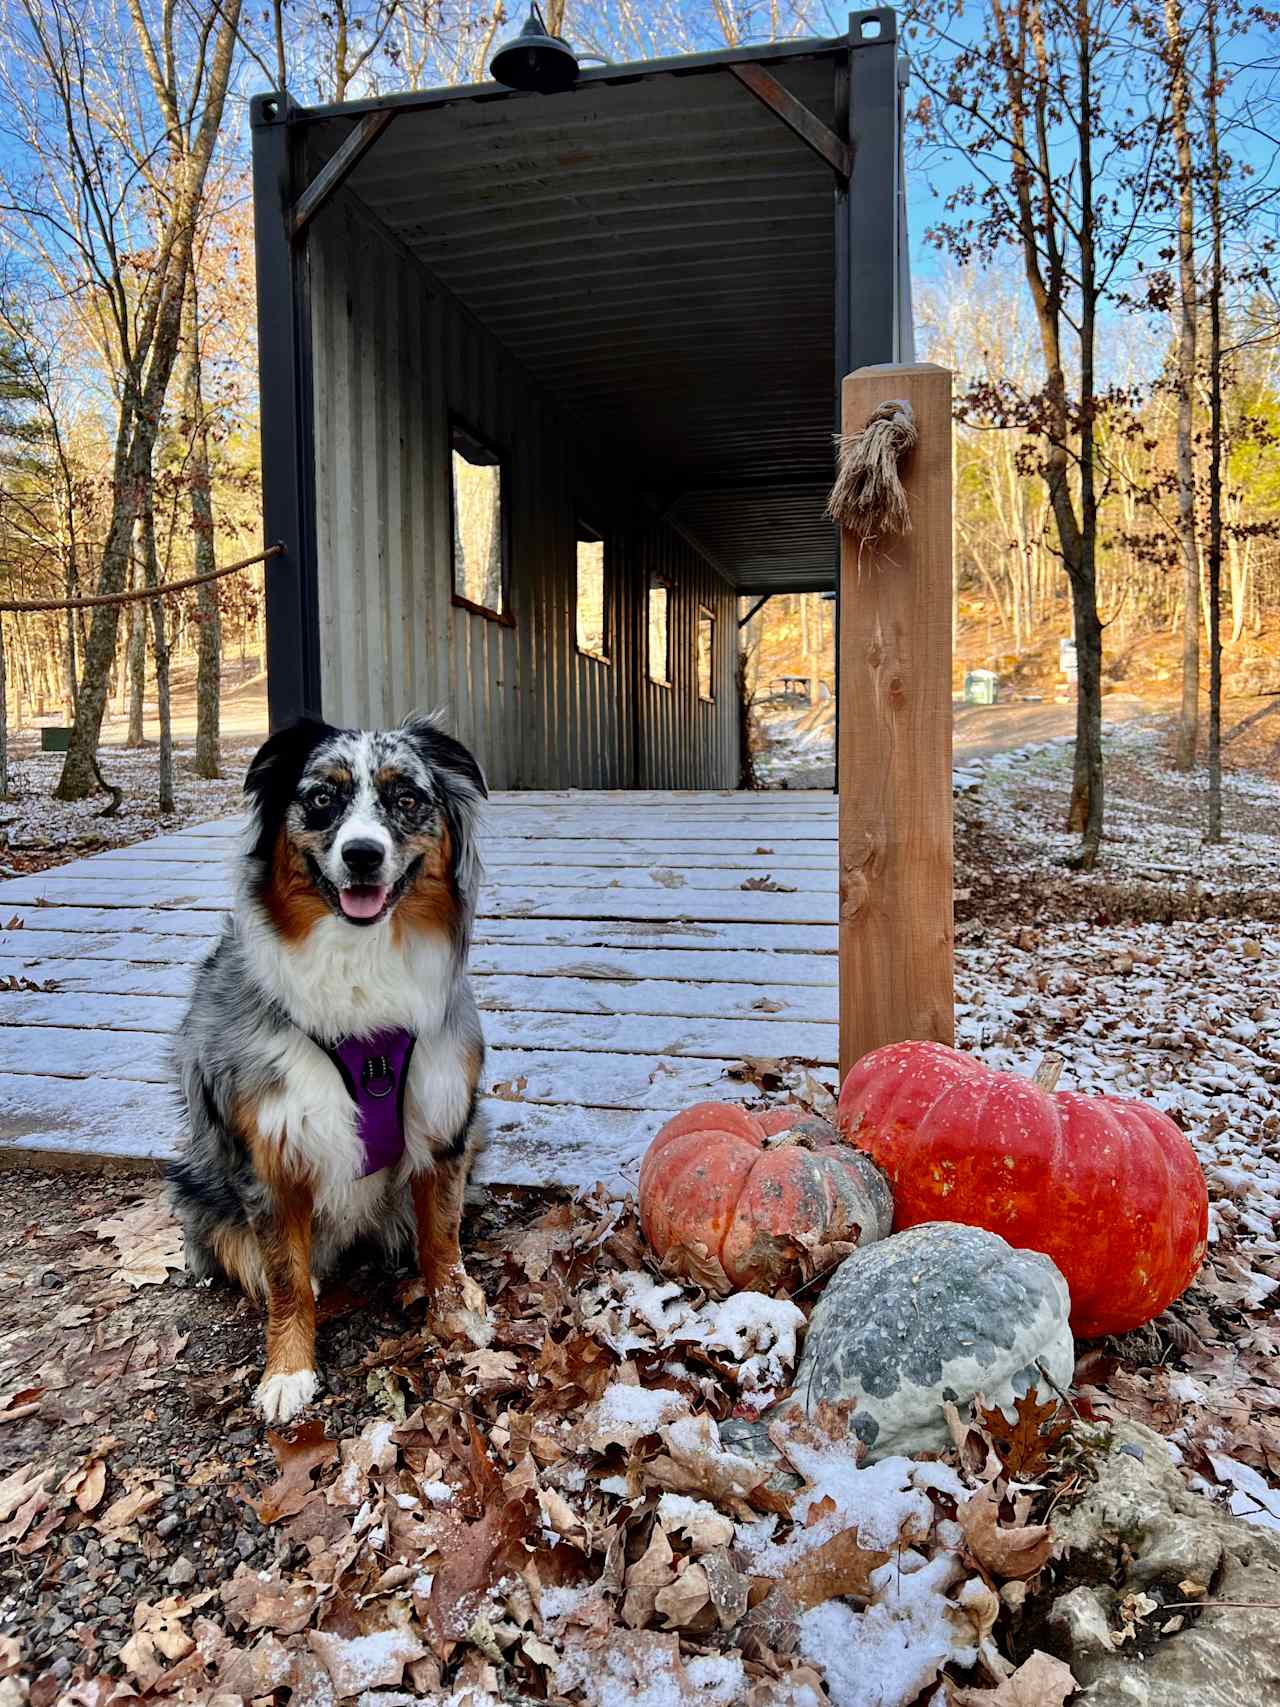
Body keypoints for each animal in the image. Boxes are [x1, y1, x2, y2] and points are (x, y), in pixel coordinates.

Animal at [168, 713, 488, 1420]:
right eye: (321, 798)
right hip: (198, 1189)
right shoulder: (268, 1153)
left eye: (407, 799)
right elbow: (285, 1276)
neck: (358, 961)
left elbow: (443, 1236)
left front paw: (456, 1313)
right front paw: (288, 1371)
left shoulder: (444, 1121)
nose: (362, 854)